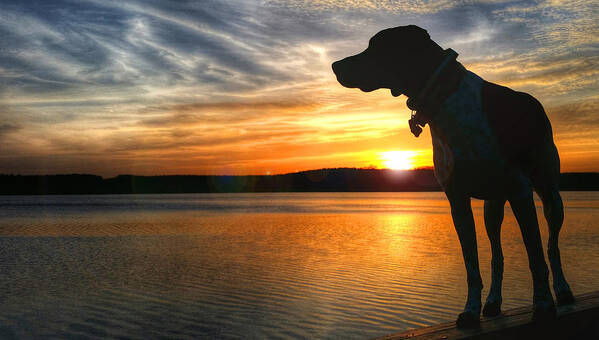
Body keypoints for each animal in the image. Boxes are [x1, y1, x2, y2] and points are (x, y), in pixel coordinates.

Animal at [332, 25, 576, 328]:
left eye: (376, 46)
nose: (335, 65)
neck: (444, 101)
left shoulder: (520, 191)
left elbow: (535, 254)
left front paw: (542, 304)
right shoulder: (457, 201)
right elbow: (472, 265)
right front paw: (471, 310)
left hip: (549, 194)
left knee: (552, 246)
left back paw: (562, 290)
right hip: (493, 206)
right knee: (497, 255)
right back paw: (493, 302)